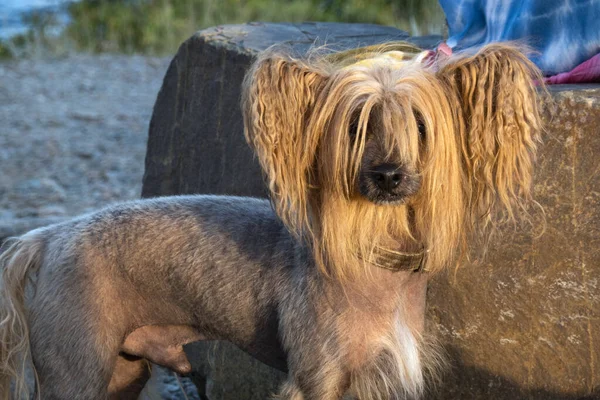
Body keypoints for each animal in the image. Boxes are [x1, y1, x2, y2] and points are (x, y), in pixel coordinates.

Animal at [0, 42, 544, 398]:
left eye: (420, 124)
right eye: (355, 125)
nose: (388, 175)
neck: (373, 254)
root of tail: (47, 237)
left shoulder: (380, 378)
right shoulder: (316, 378)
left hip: (122, 372)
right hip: (77, 370)